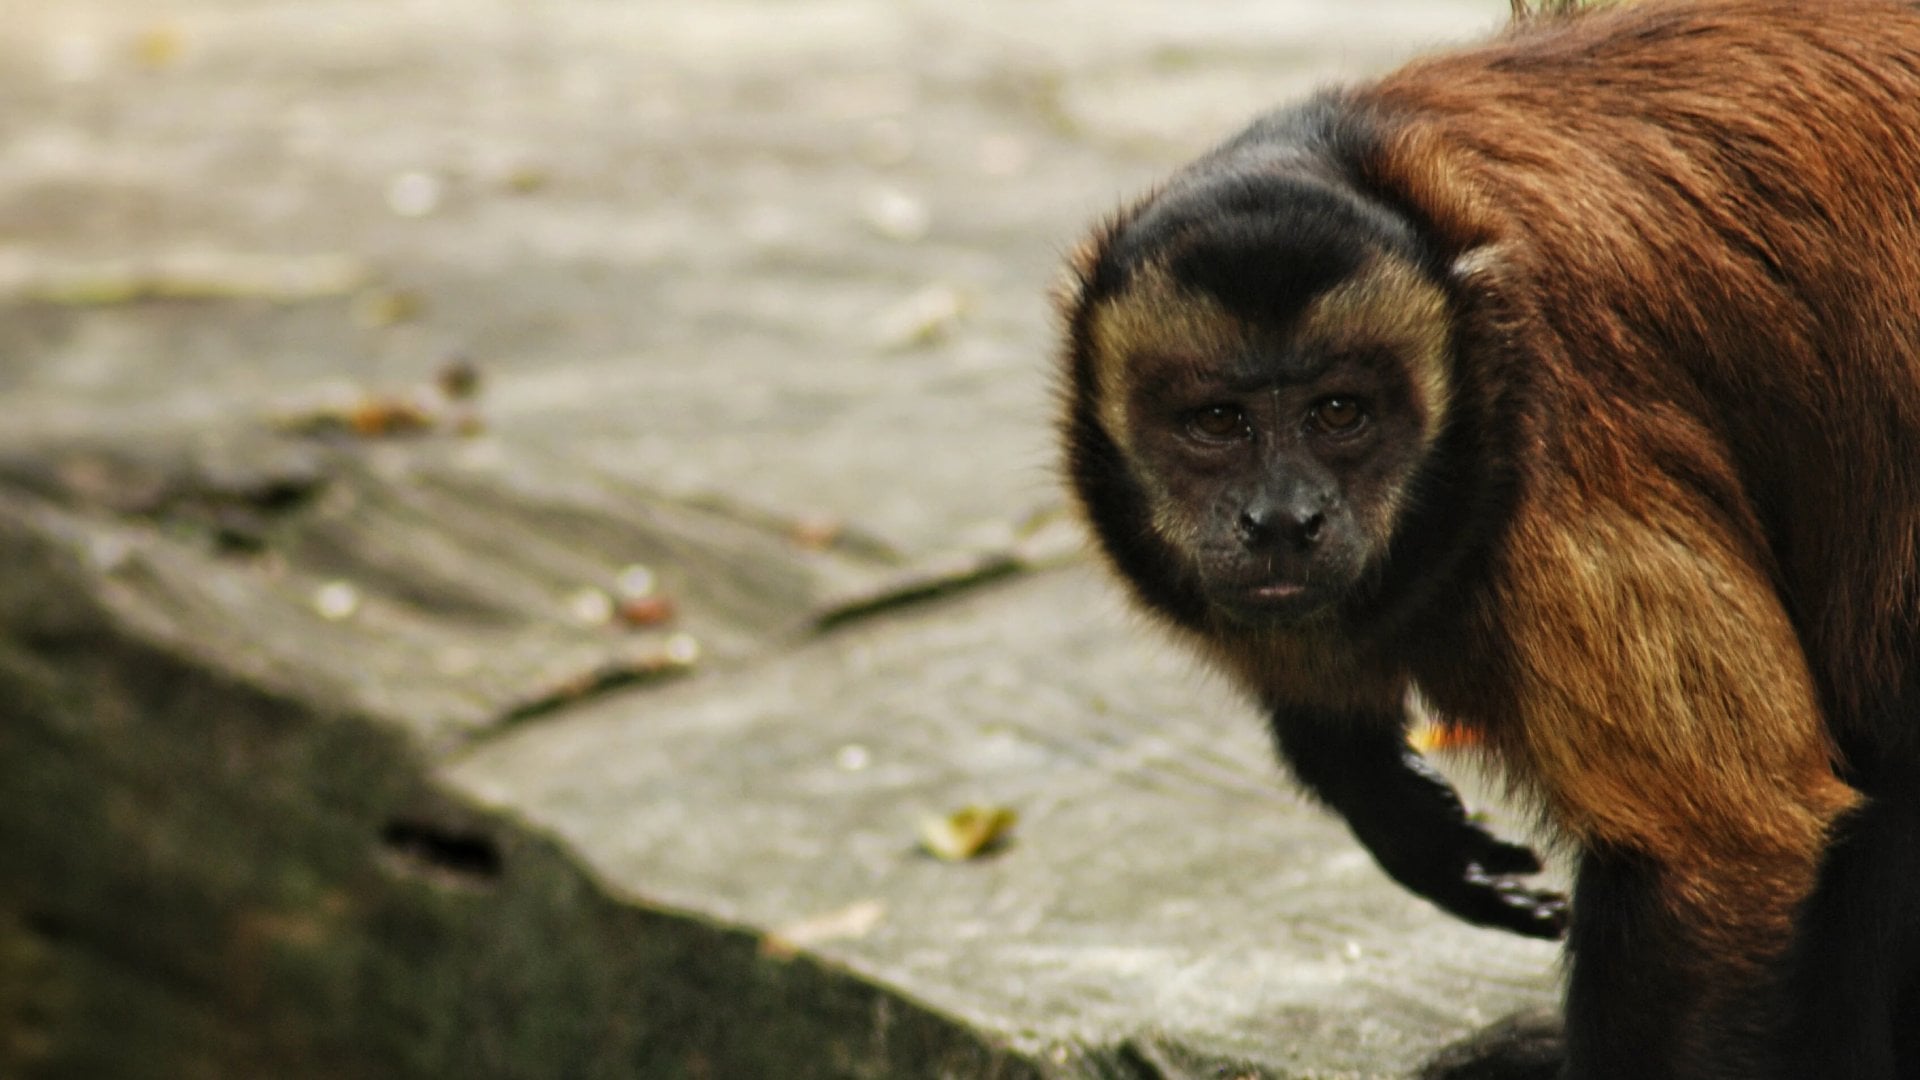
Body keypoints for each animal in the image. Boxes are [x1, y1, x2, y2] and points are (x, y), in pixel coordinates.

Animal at [1053, 1, 1920, 1077]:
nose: (1285, 517)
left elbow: (1717, 850)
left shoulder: (1566, 452)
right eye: (1218, 423)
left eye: (1340, 413)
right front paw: (1373, 785)